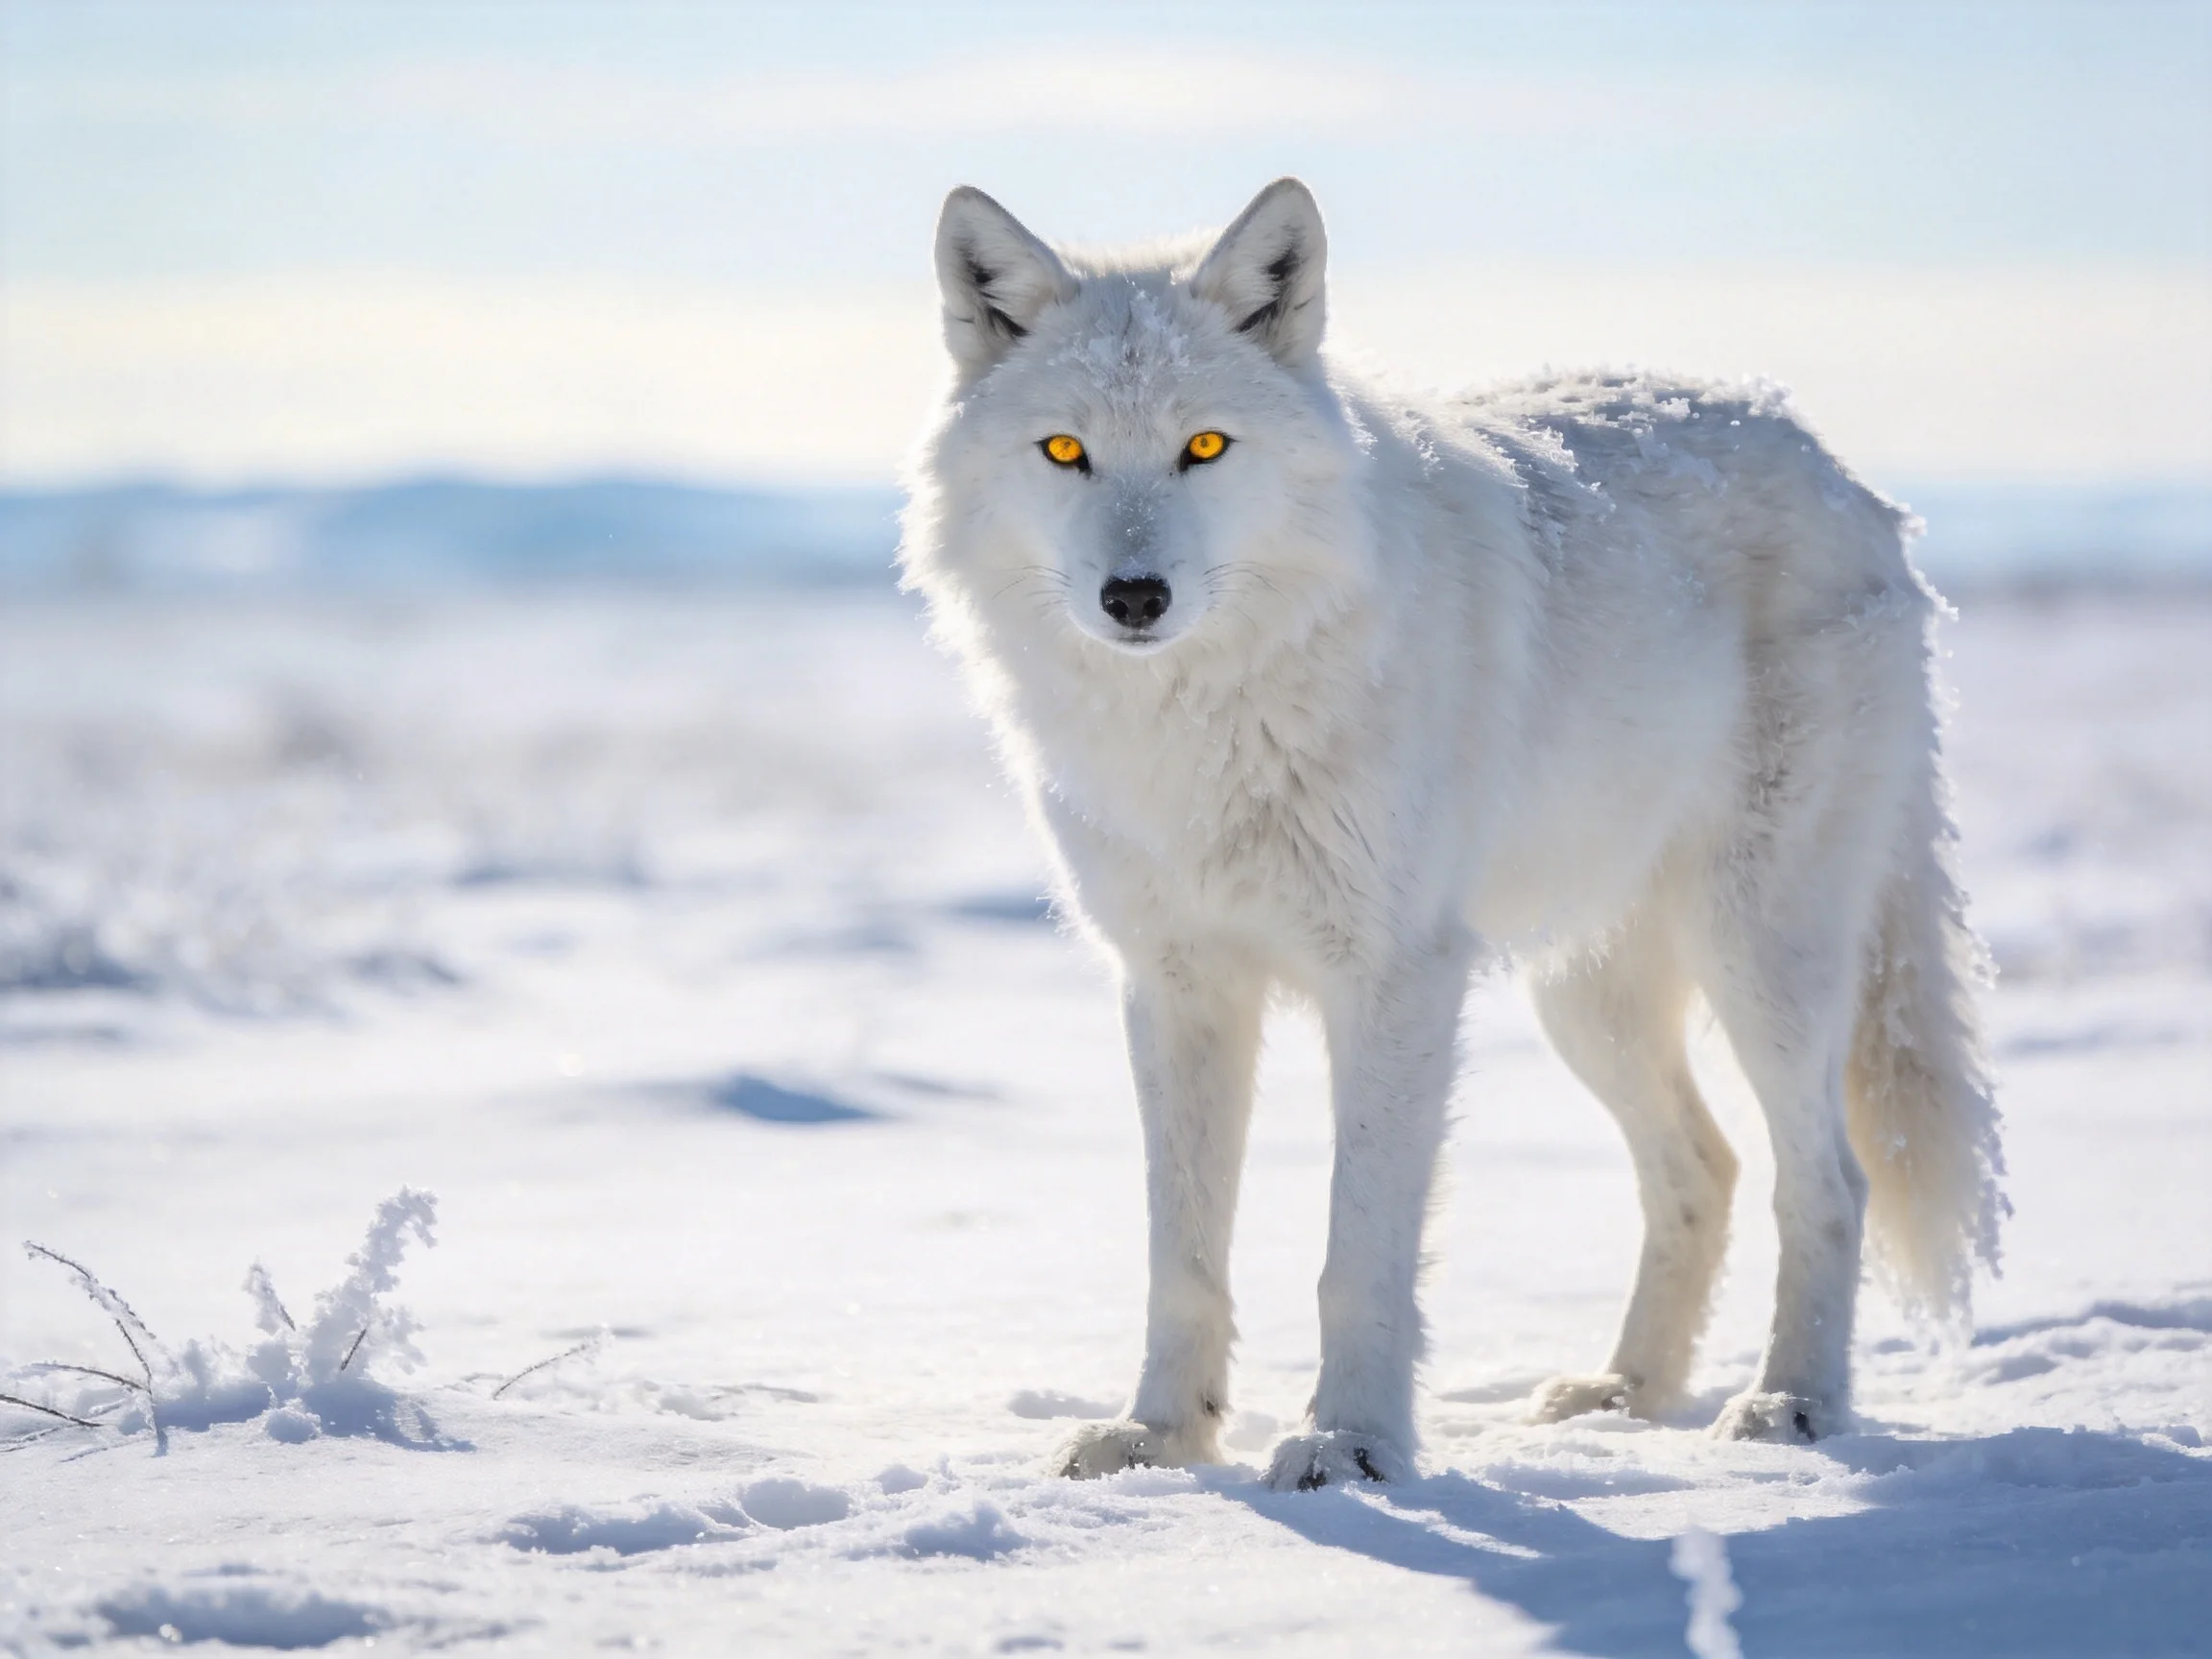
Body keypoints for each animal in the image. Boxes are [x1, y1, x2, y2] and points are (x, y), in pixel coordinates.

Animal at [900, 178, 2005, 1490]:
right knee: (1705, 1169)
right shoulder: (1176, 989)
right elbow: (1184, 1257)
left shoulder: (1393, 983)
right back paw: (1624, 1393)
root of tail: (1840, 470)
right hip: (1586, 999)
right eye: (1064, 451)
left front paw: (1350, 1445)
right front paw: (1162, 1440)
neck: (1206, 722)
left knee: (1826, 1179)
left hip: (1761, 962)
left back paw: (1790, 1407)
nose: (1134, 599)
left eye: (1204, 447)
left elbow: (1357, 1258)